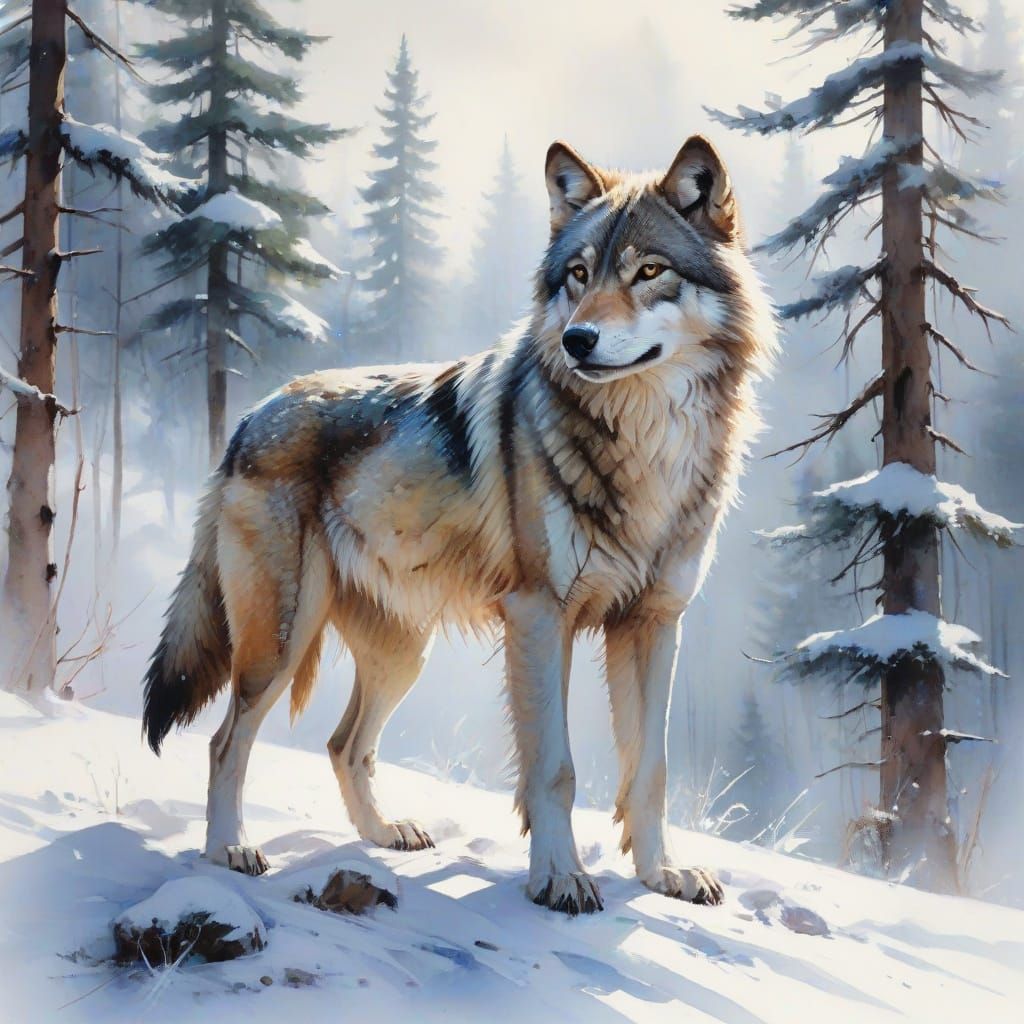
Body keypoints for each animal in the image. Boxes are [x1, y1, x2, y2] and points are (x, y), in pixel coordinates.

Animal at [143, 135, 776, 915]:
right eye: (578, 275)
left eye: (649, 271)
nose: (578, 339)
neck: (647, 445)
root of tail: (251, 415)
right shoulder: (540, 617)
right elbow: (556, 769)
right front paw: (560, 878)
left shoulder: (654, 624)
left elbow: (649, 770)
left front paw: (664, 876)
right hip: (281, 643)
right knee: (226, 741)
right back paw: (228, 849)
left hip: (401, 656)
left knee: (343, 744)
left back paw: (384, 834)